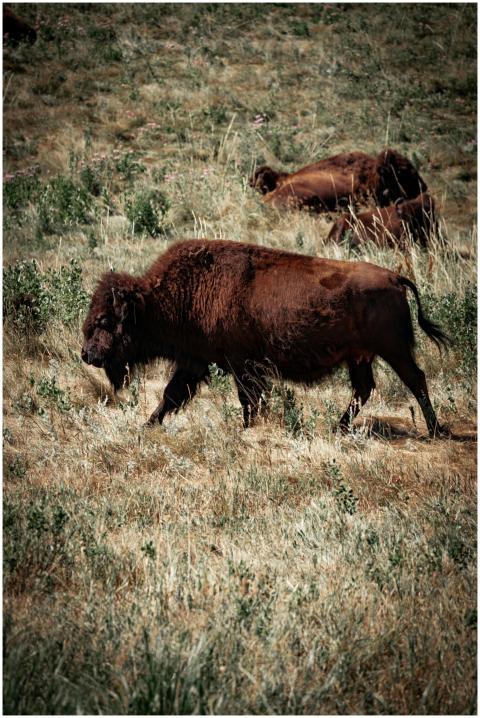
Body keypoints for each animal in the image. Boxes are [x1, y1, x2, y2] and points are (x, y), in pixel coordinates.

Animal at [82, 239, 448, 437]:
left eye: (104, 319)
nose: (87, 354)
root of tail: (395, 278)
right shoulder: (195, 362)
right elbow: (171, 395)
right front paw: (147, 425)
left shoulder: (241, 365)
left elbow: (248, 400)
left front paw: (247, 429)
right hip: (360, 356)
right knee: (365, 388)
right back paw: (338, 427)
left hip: (394, 350)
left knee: (415, 379)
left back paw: (434, 430)